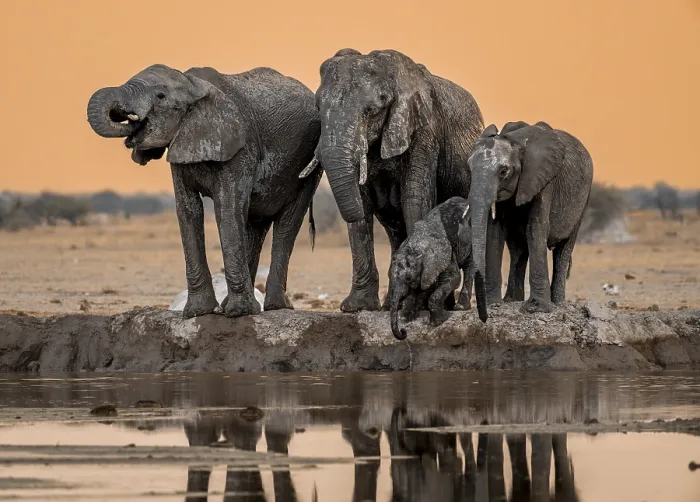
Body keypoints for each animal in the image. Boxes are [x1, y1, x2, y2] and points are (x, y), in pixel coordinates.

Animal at [87, 64, 321, 318]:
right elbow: (188, 210)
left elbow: (227, 208)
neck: (193, 86)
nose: (128, 118)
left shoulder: (241, 146)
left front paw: (238, 313)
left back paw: (273, 307)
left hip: (309, 163)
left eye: (160, 96)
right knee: (254, 227)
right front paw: (198, 312)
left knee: (287, 223)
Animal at [300, 48, 484, 313]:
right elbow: (363, 208)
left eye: (373, 109)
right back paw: (393, 304)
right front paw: (358, 307)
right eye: (318, 106)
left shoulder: (424, 132)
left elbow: (414, 200)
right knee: (395, 231)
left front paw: (417, 305)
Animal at [388, 196, 473, 340]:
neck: (416, 245)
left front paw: (441, 320)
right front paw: (407, 317)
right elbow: (425, 286)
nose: (404, 332)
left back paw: (460, 308)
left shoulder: (445, 253)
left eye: (408, 278)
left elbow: (453, 278)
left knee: (471, 266)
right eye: (388, 276)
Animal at [468, 121, 593, 321]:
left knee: (564, 249)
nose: (484, 318)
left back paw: (558, 303)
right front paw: (495, 304)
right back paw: (512, 300)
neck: (516, 142)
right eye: (469, 169)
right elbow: (495, 231)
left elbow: (536, 228)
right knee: (518, 250)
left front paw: (537, 309)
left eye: (503, 171)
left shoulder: (544, 179)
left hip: (584, 199)